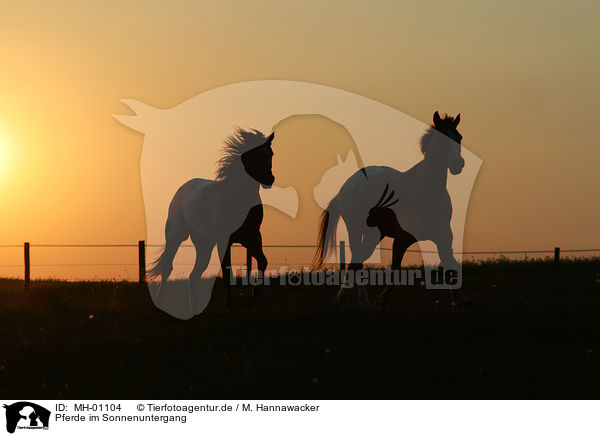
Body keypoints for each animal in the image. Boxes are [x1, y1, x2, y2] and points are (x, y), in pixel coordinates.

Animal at [150, 127, 274, 308]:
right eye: (256, 155)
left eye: (270, 154)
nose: (269, 180)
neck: (239, 197)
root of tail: (182, 188)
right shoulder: (224, 240)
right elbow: (227, 271)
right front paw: (229, 305)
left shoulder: (252, 238)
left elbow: (263, 262)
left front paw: (252, 299)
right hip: (175, 236)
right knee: (168, 268)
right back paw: (160, 302)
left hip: (204, 244)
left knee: (194, 276)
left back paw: (194, 307)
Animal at [314, 111, 464, 306]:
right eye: (441, 139)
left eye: (459, 137)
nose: (458, 164)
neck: (425, 190)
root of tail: (345, 187)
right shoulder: (402, 239)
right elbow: (394, 270)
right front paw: (381, 300)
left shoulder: (444, 237)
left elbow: (450, 266)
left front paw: (460, 300)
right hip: (355, 228)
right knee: (355, 261)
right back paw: (347, 298)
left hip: (373, 235)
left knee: (358, 259)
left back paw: (361, 300)